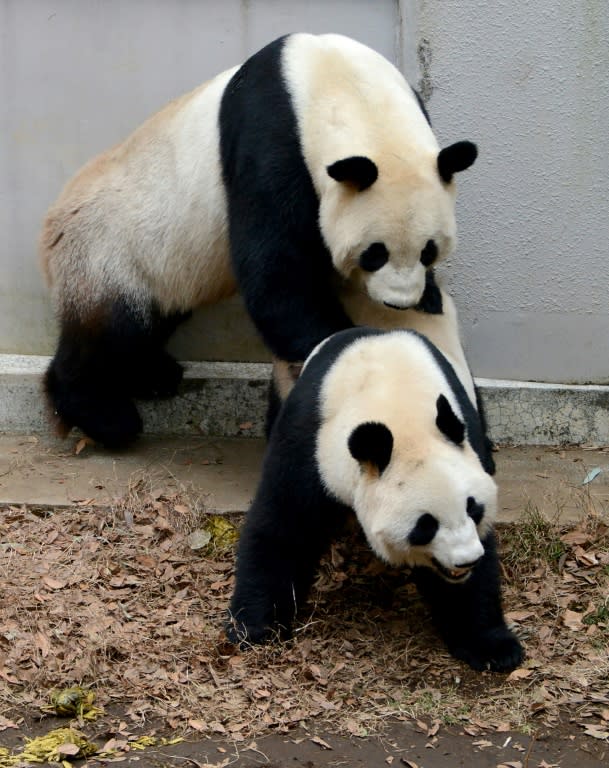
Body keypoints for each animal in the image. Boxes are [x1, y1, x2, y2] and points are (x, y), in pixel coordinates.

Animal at [40, 31, 478, 450]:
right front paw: (345, 342)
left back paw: (154, 374)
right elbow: (276, 275)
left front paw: (429, 297)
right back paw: (104, 413)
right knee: (110, 333)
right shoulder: (270, 140)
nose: (398, 302)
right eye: (374, 254)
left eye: (429, 250)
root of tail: (50, 228)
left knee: (152, 323)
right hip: (108, 252)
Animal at [228, 328, 524, 672]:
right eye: (426, 525)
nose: (466, 561)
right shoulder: (311, 442)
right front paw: (255, 629)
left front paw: (492, 646)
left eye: (473, 508)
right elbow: (284, 527)